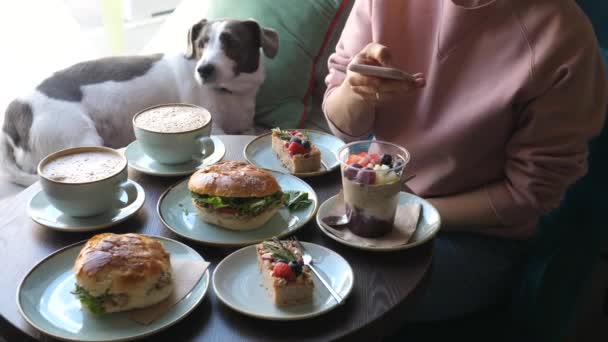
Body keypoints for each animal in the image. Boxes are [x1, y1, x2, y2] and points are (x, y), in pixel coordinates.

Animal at [0, 18, 280, 186]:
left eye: (231, 42)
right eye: (201, 44)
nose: (203, 70)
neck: (229, 92)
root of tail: (11, 119)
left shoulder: (246, 126)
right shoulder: (218, 127)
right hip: (80, 137)